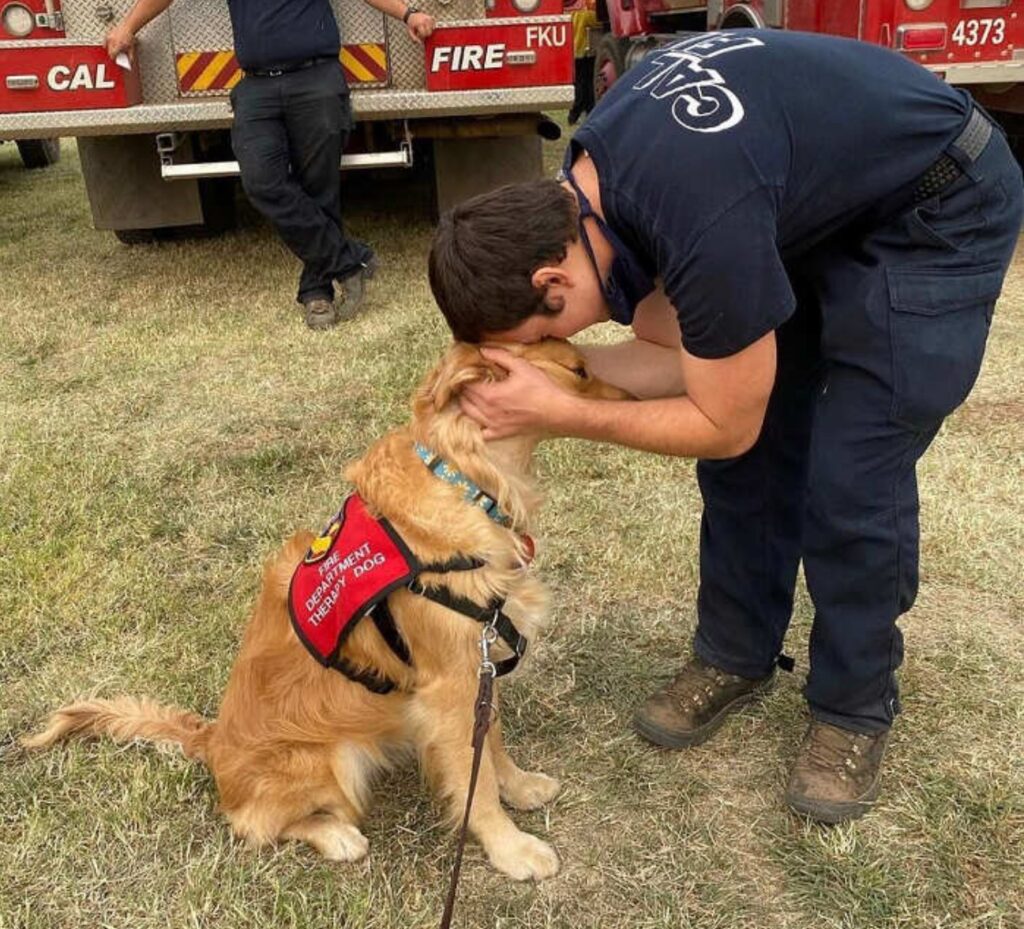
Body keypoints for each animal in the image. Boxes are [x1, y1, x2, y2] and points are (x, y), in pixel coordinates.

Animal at [22, 338, 630, 880]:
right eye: (579, 369)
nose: (630, 397)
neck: (466, 480)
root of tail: (211, 741)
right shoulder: (448, 684)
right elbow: (472, 784)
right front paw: (511, 849)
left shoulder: (478, 663)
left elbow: (492, 742)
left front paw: (519, 785)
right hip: (335, 761)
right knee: (253, 822)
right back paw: (336, 836)